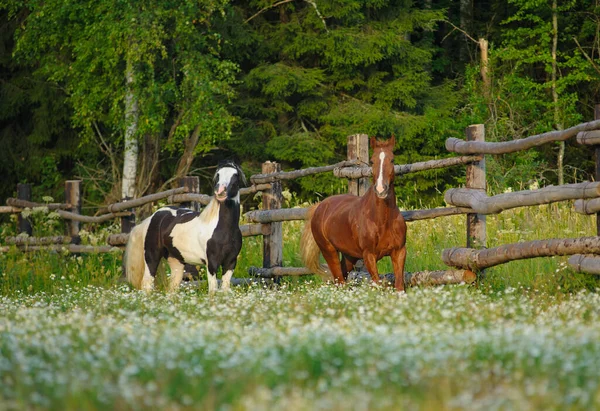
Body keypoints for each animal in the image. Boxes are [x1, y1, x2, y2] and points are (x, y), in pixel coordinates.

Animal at [123, 161, 247, 292]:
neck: (223, 230)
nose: (220, 192)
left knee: (172, 288)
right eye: (218, 175)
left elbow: (225, 290)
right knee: (147, 283)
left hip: (176, 262)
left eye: (235, 176)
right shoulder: (212, 263)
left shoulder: (230, 263)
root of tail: (152, 218)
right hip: (151, 256)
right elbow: (213, 290)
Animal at [300, 138, 408, 292]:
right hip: (329, 251)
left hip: (349, 257)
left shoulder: (399, 252)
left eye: (392, 160)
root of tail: (320, 207)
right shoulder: (369, 255)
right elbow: (377, 284)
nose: (381, 189)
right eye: (372, 161)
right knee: (339, 281)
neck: (382, 220)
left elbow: (399, 286)